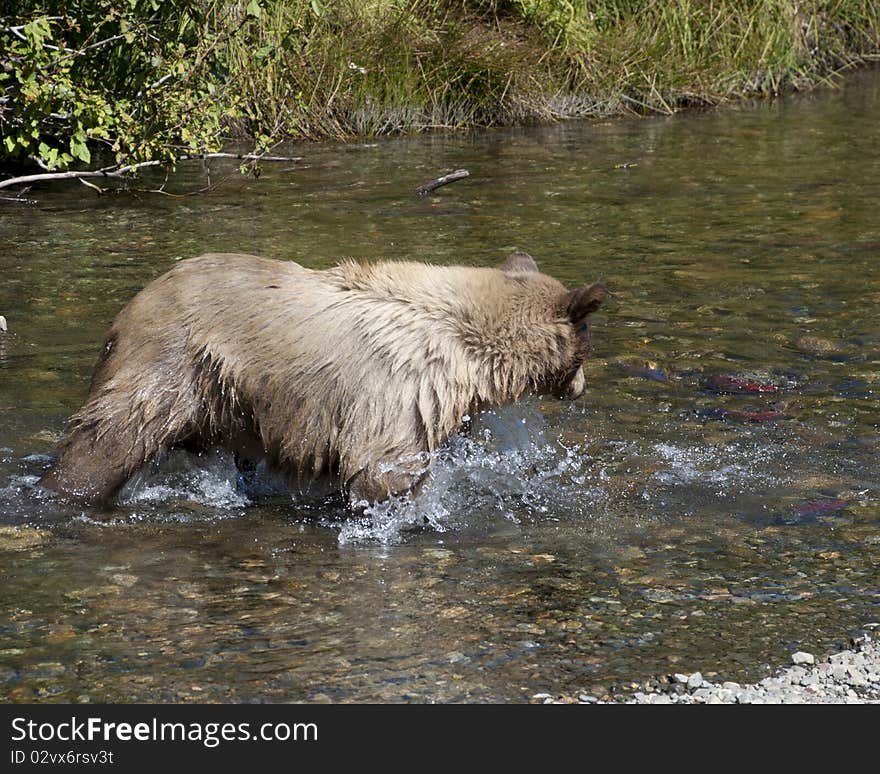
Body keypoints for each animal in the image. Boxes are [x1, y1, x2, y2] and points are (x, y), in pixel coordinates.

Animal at [39, 250, 604, 510]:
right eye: (586, 343)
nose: (581, 387)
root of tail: (126, 311)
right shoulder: (399, 391)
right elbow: (382, 470)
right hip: (169, 366)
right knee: (107, 441)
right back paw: (63, 493)